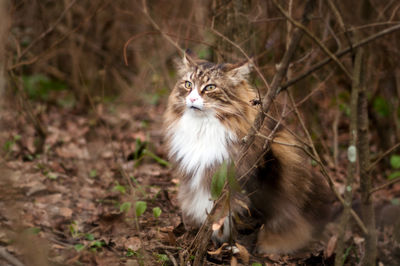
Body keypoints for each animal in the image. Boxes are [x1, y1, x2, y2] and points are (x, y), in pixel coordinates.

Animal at [163, 51, 334, 254]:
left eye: (210, 87)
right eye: (188, 85)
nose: (192, 99)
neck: (203, 129)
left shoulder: (252, 190)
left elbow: (247, 228)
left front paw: (238, 250)